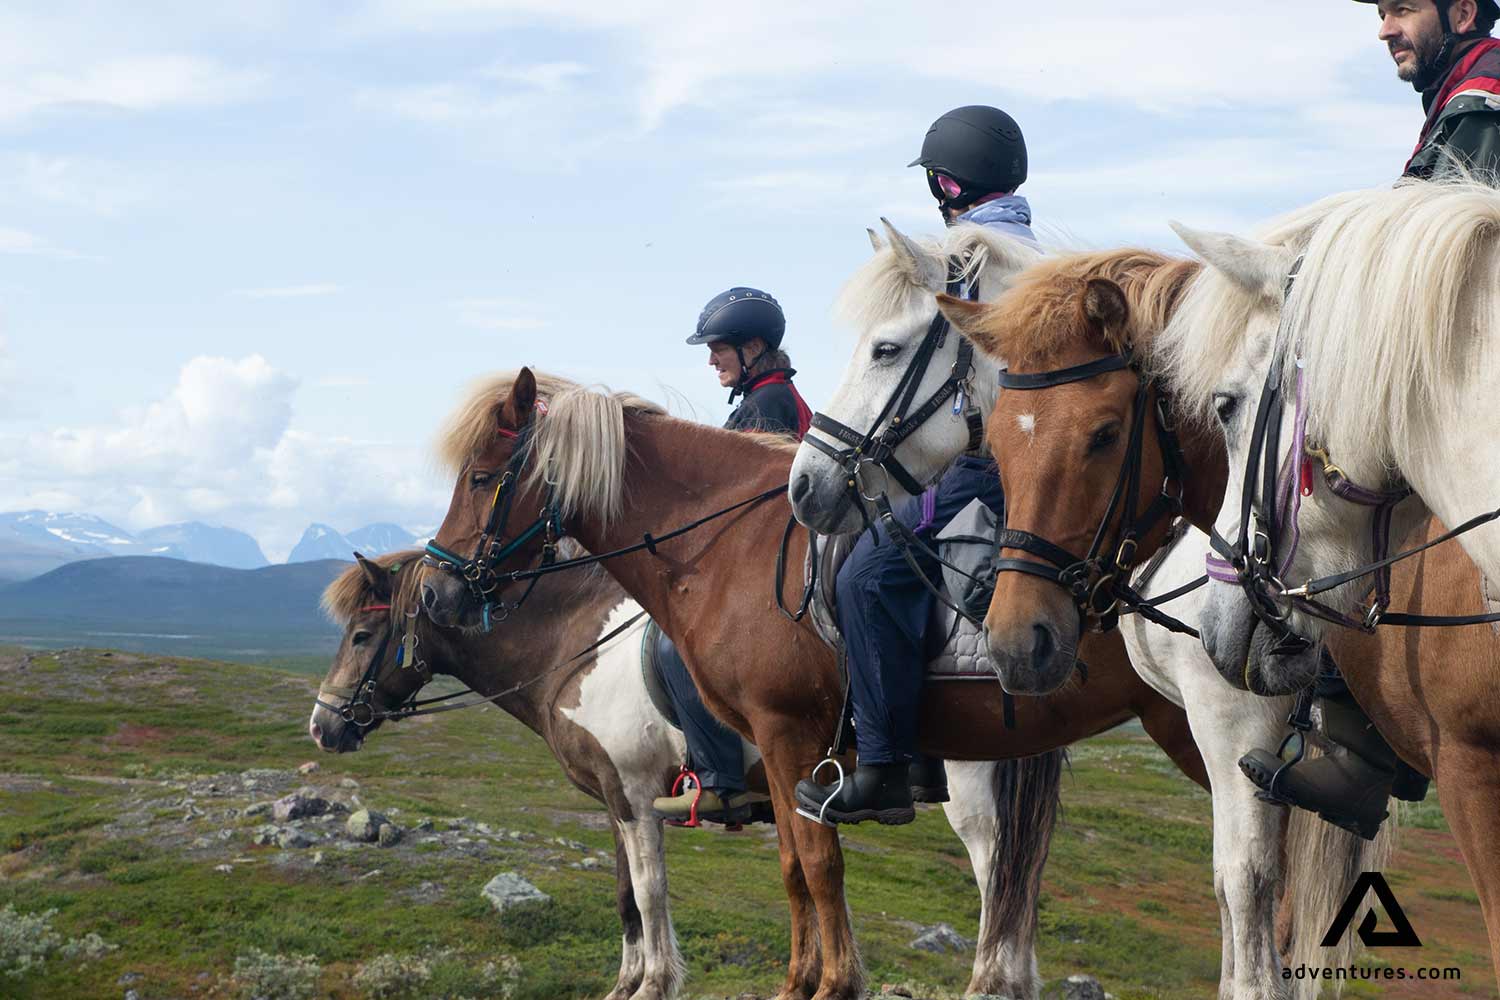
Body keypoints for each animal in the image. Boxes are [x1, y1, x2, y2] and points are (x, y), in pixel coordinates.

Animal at [309, 548, 1076, 1000]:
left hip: (973, 795)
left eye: (362, 635)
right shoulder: (616, 801)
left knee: (997, 882)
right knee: (1020, 887)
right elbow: (627, 896)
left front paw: (654, 983)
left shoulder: (634, 794)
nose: (323, 725)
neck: (572, 647)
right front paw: (626, 983)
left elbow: (650, 894)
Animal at [418, 369, 1209, 1000]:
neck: (726, 548)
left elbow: (819, 861)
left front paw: (835, 983)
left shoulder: (783, 735)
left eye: (482, 479)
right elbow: (793, 864)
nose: (433, 590)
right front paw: (800, 980)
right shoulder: (767, 756)